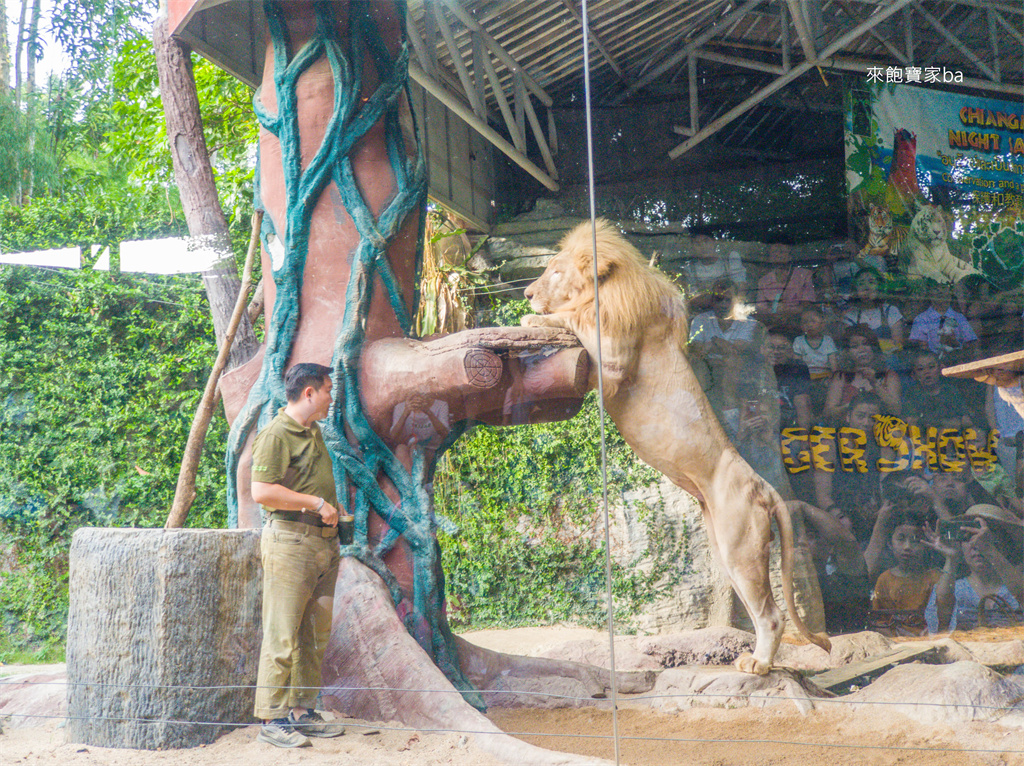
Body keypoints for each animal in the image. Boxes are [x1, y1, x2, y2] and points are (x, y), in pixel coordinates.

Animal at [520, 218, 831, 671]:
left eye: (556, 272)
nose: (526, 293)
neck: (612, 286)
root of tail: (763, 485)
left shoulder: (613, 361)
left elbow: (574, 318)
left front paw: (533, 317)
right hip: (725, 547)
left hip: (740, 547)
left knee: (771, 615)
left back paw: (757, 664)